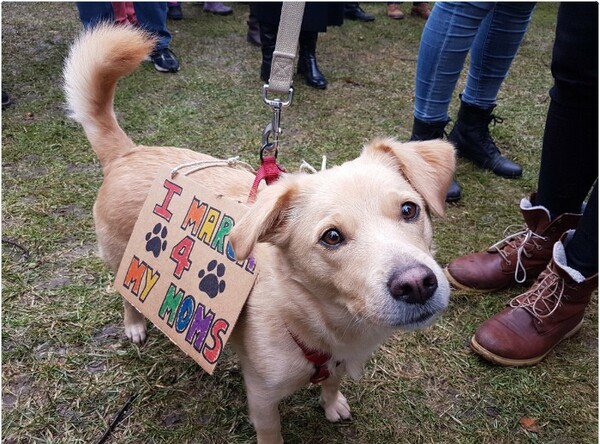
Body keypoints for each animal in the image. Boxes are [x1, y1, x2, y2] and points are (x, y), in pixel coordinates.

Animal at [62, 24, 454, 444]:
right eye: (331, 237)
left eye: (410, 210)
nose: (417, 284)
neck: (316, 322)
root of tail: (128, 153)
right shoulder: (263, 398)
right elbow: (272, 433)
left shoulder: (335, 364)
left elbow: (331, 384)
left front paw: (332, 404)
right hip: (123, 259)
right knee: (126, 295)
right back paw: (135, 324)